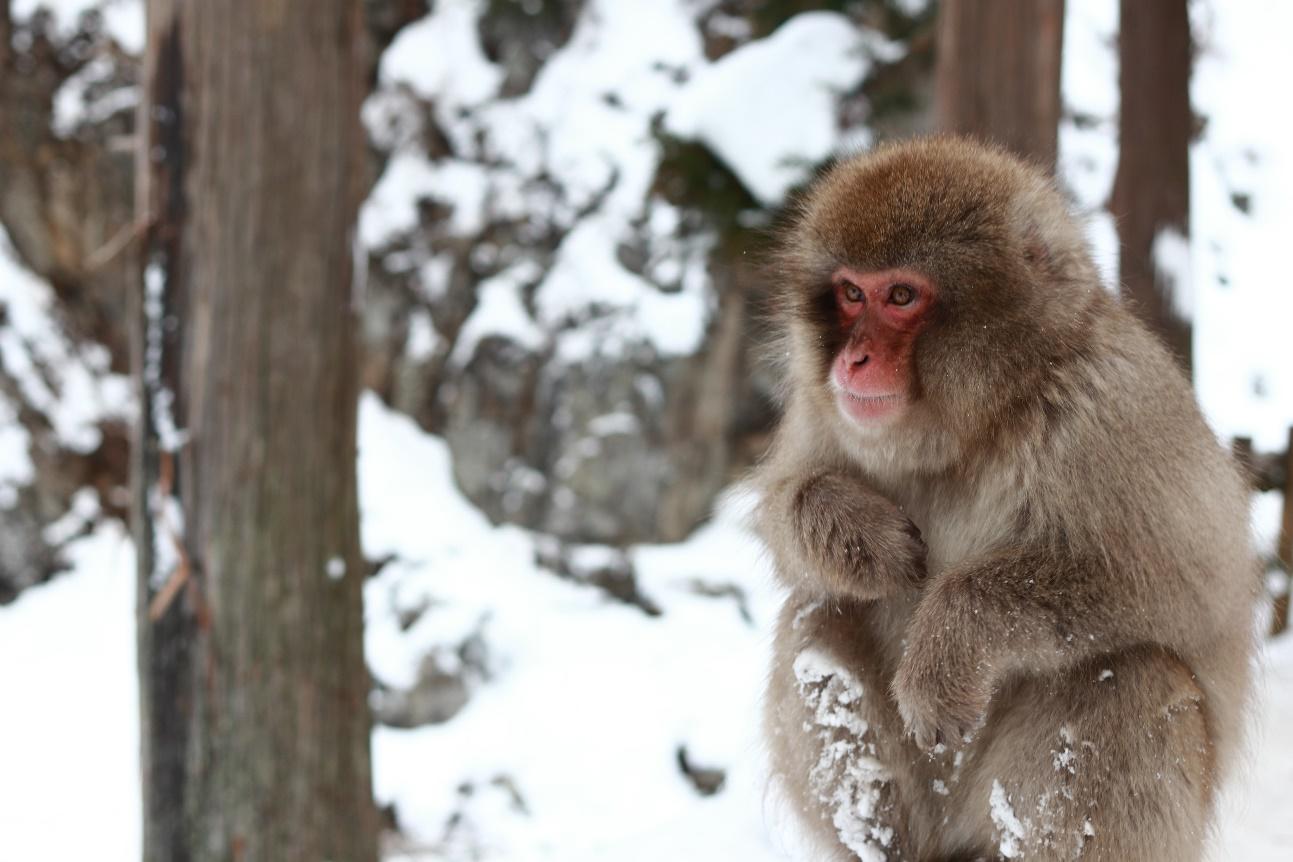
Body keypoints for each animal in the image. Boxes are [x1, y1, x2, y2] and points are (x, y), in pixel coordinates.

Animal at [755, 138, 1256, 858]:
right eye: (851, 294)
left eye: (900, 295)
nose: (850, 362)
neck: (981, 420)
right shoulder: (828, 411)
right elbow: (781, 510)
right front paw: (855, 532)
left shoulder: (1110, 408)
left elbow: (1187, 587)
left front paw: (949, 640)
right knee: (815, 610)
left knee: (1131, 677)